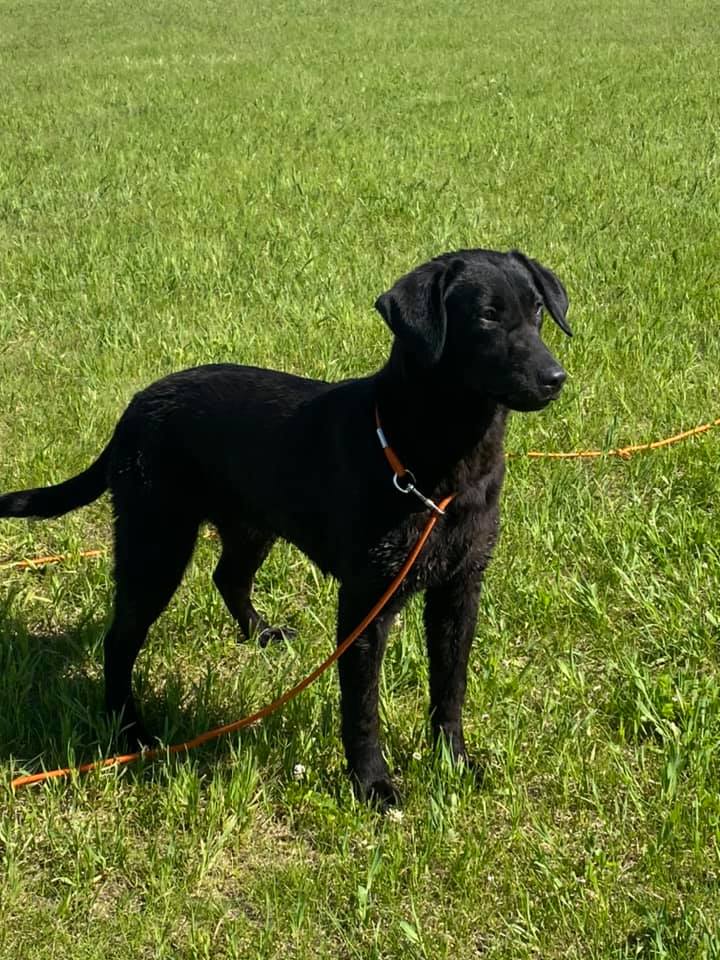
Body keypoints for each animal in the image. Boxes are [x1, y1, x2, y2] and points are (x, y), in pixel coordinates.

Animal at [1, 246, 572, 804]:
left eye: (537, 311)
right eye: (485, 316)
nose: (555, 378)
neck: (433, 460)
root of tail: (134, 409)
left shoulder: (460, 587)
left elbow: (450, 689)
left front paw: (454, 763)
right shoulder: (367, 599)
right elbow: (361, 707)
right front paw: (372, 784)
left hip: (250, 527)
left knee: (227, 577)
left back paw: (260, 634)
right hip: (155, 544)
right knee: (120, 640)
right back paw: (130, 731)